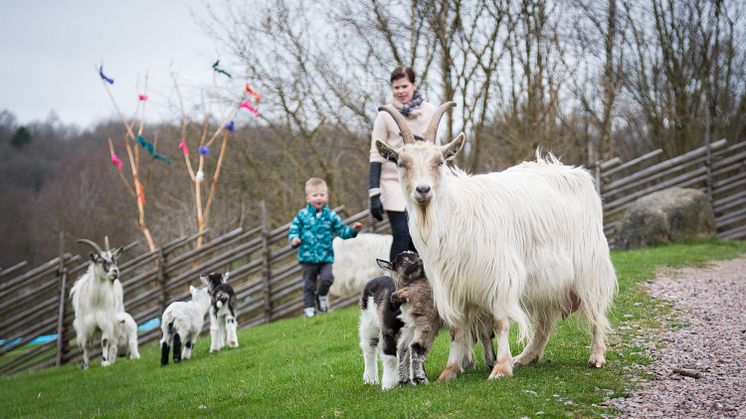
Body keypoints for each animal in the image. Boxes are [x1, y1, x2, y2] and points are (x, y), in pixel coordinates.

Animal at [70, 238, 125, 370]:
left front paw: (105, 362)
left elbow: (104, 341)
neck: (95, 302)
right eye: (100, 260)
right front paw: (85, 365)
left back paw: (112, 359)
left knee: (112, 341)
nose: (115, 271)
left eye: (114, 259)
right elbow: (85, 344)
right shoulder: (84, 325)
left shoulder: (106, 321)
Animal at [374, 103, 612, 382]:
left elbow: (500, 321)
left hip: (588, 265)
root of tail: (576, 173)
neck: (452, 214)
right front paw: (450, 371)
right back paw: (527, 356)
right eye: (401, 163)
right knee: (545, 321)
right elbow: (457, 329)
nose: (423, 190)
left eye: (439, 161)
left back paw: (596, 356)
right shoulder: (451, 284)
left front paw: (501, 368)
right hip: (545, 281)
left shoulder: (500, 275)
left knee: (595, 309)